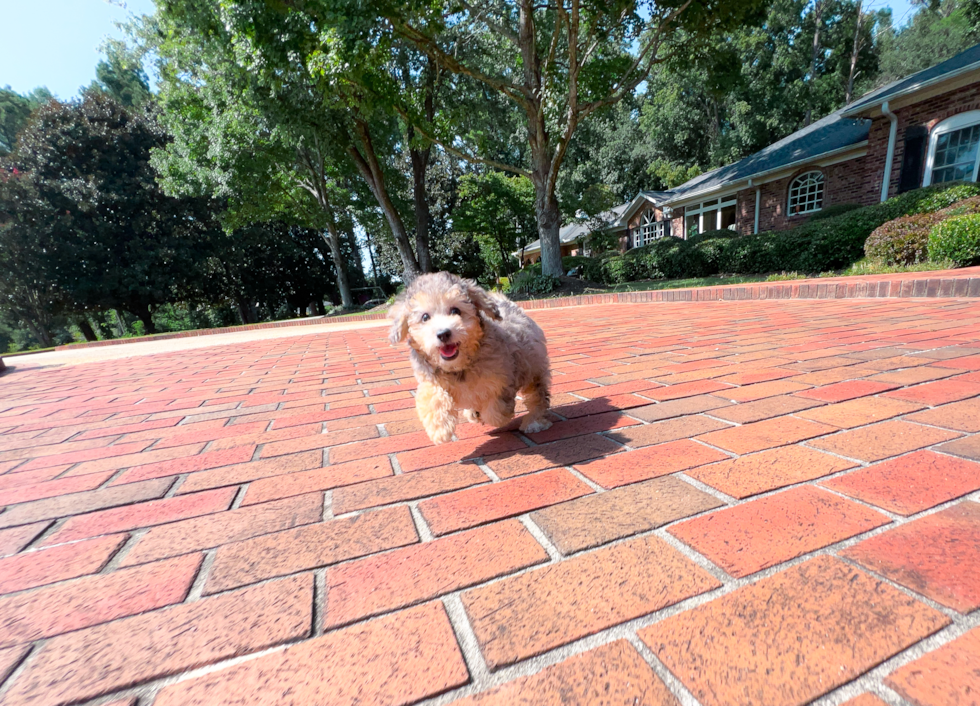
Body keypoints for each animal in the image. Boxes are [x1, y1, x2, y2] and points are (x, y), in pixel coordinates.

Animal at [386, 270, 552, 442]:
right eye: (425, 317)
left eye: (455, 310)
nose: (443, 333)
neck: (458, 367)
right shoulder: (430, 379)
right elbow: (432, 397)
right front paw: (440, 429)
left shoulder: (500, 380)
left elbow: (495, 410)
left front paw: (496, 416)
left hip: (533, 368)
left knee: (537, 397)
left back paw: (534, 421)